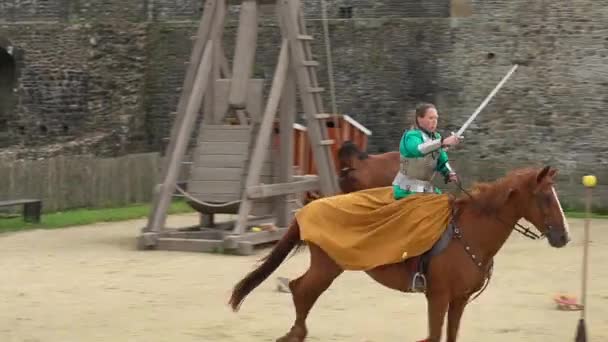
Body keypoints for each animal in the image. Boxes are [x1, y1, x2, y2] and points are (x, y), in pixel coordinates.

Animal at [230, 166, 572, 342]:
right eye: (544, 197)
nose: (563, 236)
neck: (470, 232)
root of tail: (310, 206)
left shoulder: (458, 300)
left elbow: (451, 336)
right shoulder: (438, 297)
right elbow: (434, 336)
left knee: (299, 289)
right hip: (328, 266)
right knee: (301, 289)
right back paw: (296, 334)